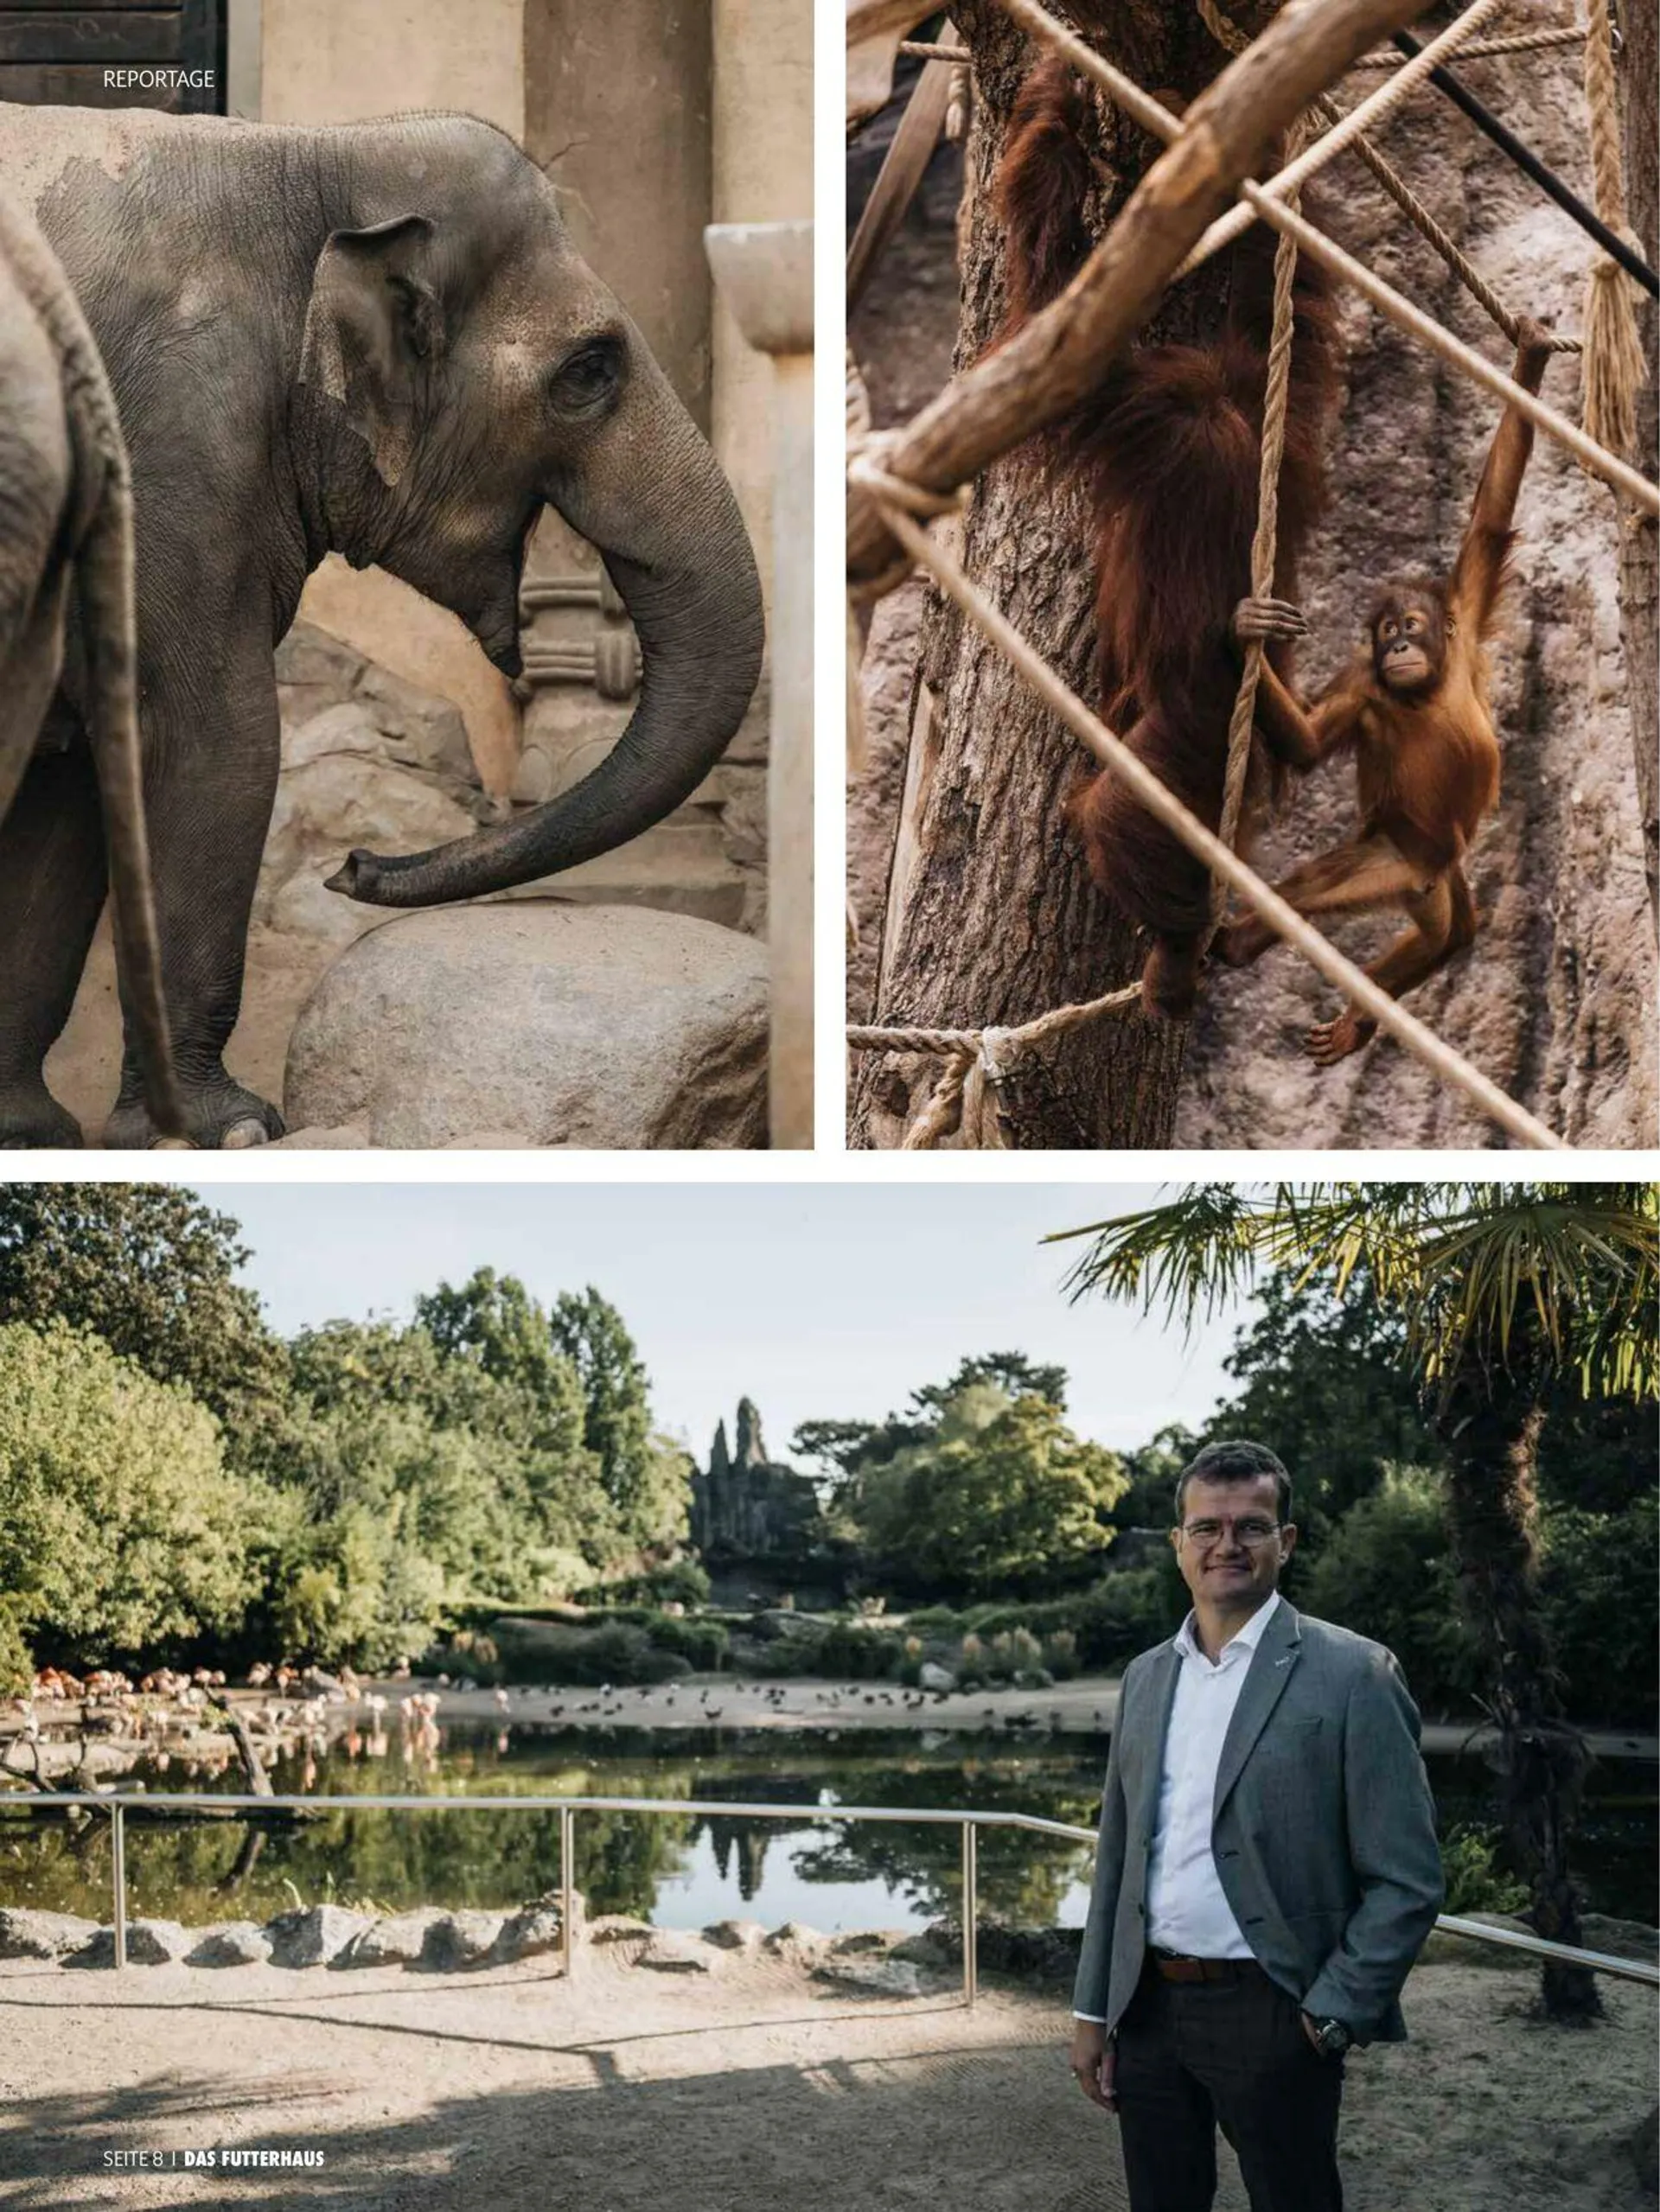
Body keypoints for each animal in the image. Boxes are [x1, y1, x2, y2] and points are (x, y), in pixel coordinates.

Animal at [0, 104, 765, 1150]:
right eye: (591, 371)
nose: (354, 869)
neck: (307, 155)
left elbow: (78, 781)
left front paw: (32, 1131)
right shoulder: (173, 443)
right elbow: (217, 741)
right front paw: (228, 1129)